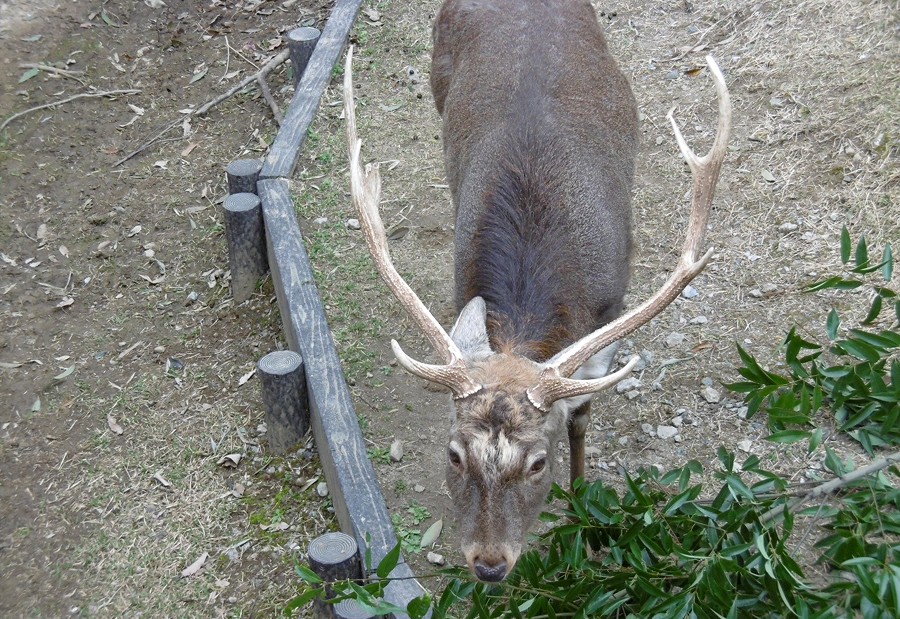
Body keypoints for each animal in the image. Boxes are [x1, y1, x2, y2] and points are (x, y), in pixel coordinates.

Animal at [342, 0, 728, 584]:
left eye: (538, 462)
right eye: (454, 454)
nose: (489, 563)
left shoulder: (609, 307)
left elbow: (583, 415)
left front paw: (582, 512)